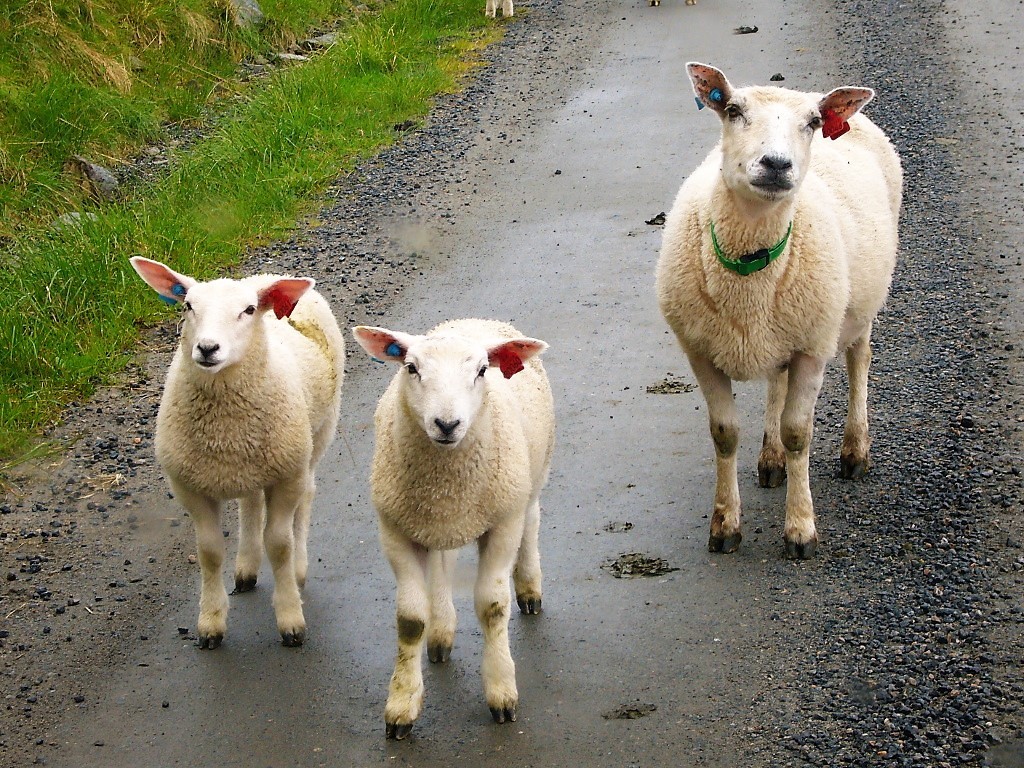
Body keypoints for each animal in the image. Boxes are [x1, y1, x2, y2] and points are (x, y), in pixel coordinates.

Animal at [126, 257, 344, 651]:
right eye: (188, 306)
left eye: (248, 310)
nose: (207, 348)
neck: (226, 427)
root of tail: (268, 276)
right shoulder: (189, 487)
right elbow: (210, 552)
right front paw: (210, 623)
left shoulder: (286, 475)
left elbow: (280, 544)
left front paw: (290, 619)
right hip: (253, 465)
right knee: (250, 503)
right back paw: (246, 568)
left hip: (316, 438)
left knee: (306, 497)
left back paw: (298, 570)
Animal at [354, 317, 561, 741]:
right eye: (411, 368)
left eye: (481, 371)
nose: (447, 424)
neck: (445, 475)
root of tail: (475, 320)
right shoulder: (396, 530)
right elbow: (410, 620)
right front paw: (401, 705)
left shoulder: (502, 524)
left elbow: (493, 607)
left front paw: (502, 693)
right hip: (437, 522)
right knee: (443, 564)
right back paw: (441, 632)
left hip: (531, 479)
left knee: (531, 524)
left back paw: (530, 589)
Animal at [655, 63, 905, 561]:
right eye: (732, 110)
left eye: (813, 123)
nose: (776, 164)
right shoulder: (701, 352)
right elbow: (724, 433)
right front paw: (725, 526)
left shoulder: (812, 346)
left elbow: (798, 433)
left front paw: (800, 529)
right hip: (781, 329)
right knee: (776, 380)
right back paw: (771, 461)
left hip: (860, 306)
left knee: (859, 362)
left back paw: (855, 451)